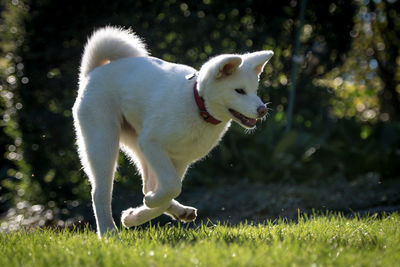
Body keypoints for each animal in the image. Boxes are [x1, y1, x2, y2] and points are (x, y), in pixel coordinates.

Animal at [72, 26, 274, 238]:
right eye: (239, 91)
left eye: (255, 90)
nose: (263, 110)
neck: (198, 105)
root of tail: (93, 72)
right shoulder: (151, 143)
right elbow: (172, 186)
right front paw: (149, 203)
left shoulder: (179, 159)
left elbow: (169, 191)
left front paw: (135, 215)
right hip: (104, 143)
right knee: (99, 193)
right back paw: (108, 232)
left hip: (137, 146)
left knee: (146, 187)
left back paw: (176, 211)